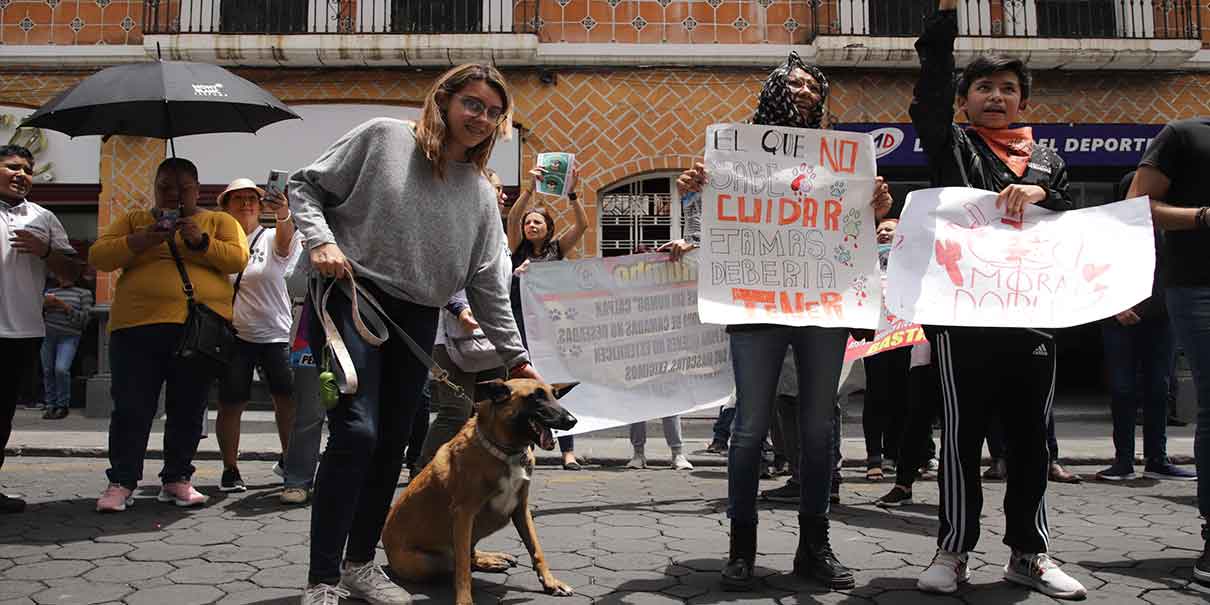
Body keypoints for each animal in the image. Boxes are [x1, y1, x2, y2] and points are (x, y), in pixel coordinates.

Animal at [384, 375, 578, 602]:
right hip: (424, 563)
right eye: (534, 398)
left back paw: (492, 559)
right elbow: (462, 568)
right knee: (456, 562)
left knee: (469, 555)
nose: (572, 421)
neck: (506, 451)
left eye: (554, 396)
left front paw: (550, 582)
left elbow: (536, 548)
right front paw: (464, 600)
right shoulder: (463, 514)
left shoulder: (521, 509)